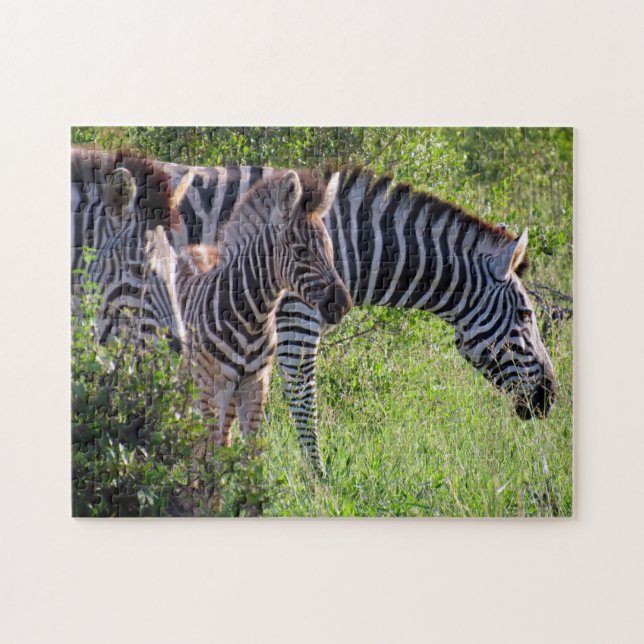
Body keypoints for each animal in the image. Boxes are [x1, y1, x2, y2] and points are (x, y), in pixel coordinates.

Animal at [145, 170, 351, 453]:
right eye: (301, 252)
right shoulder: (212, 387)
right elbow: (208, 449)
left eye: (331, 249)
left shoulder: (255, 386)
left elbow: (248, 452)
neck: (252, 318)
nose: (343, 304)